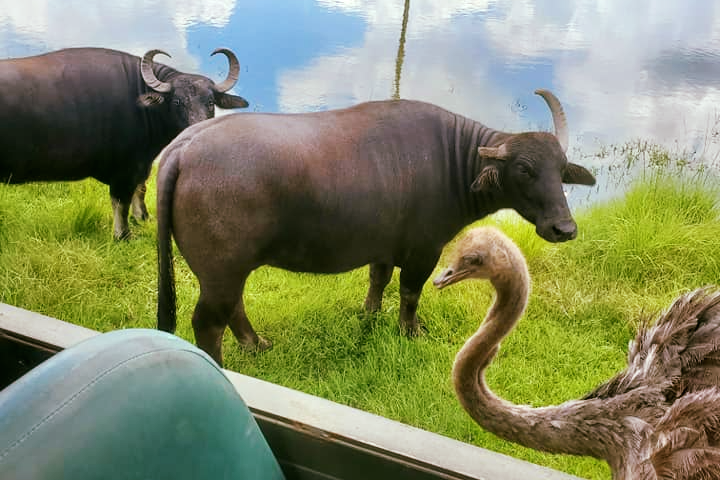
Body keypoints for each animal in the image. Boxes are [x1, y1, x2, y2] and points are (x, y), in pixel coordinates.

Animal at [0, 47, 249, 240]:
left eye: (210, 102)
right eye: (177, 101)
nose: (196, 129)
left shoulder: (142, 164)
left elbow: (141, 188)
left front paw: (143, 217)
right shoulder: (124, 170)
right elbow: (121, 202)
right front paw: (123, 235)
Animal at [156, 89, 596, 366]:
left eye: (560, 169)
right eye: (524, 169)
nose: (563, 228)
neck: (453, 162)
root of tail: (183, 148)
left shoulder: (383, 247)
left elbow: (378, 280)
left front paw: (368, 315)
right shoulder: (425, 250)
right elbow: (411, 292)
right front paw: (411, 331)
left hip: (228, 271)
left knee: (235, 307)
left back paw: (256, 344)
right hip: (221, 270)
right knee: (209, 322)